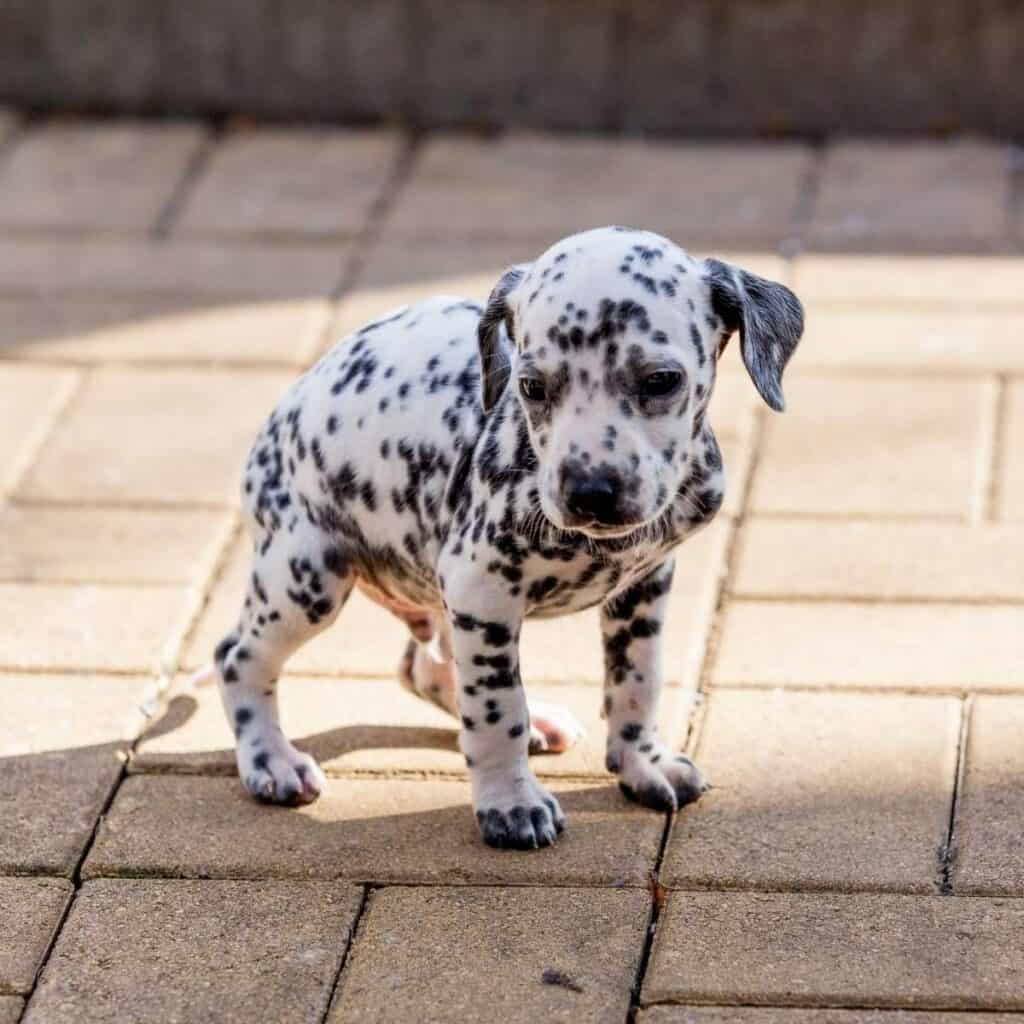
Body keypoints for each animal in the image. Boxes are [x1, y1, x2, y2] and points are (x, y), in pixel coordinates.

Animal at [216, 228, 802, 851]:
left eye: (661, 380)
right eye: (531, 386)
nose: (590, 491)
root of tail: (278, 418)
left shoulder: (643, 588)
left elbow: (637, 681)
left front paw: (642, 764)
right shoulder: (481, 590)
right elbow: (498, 710)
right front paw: (511, 803)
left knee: (425, 668)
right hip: (308, 579)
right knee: (238, 657)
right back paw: (272, 762)